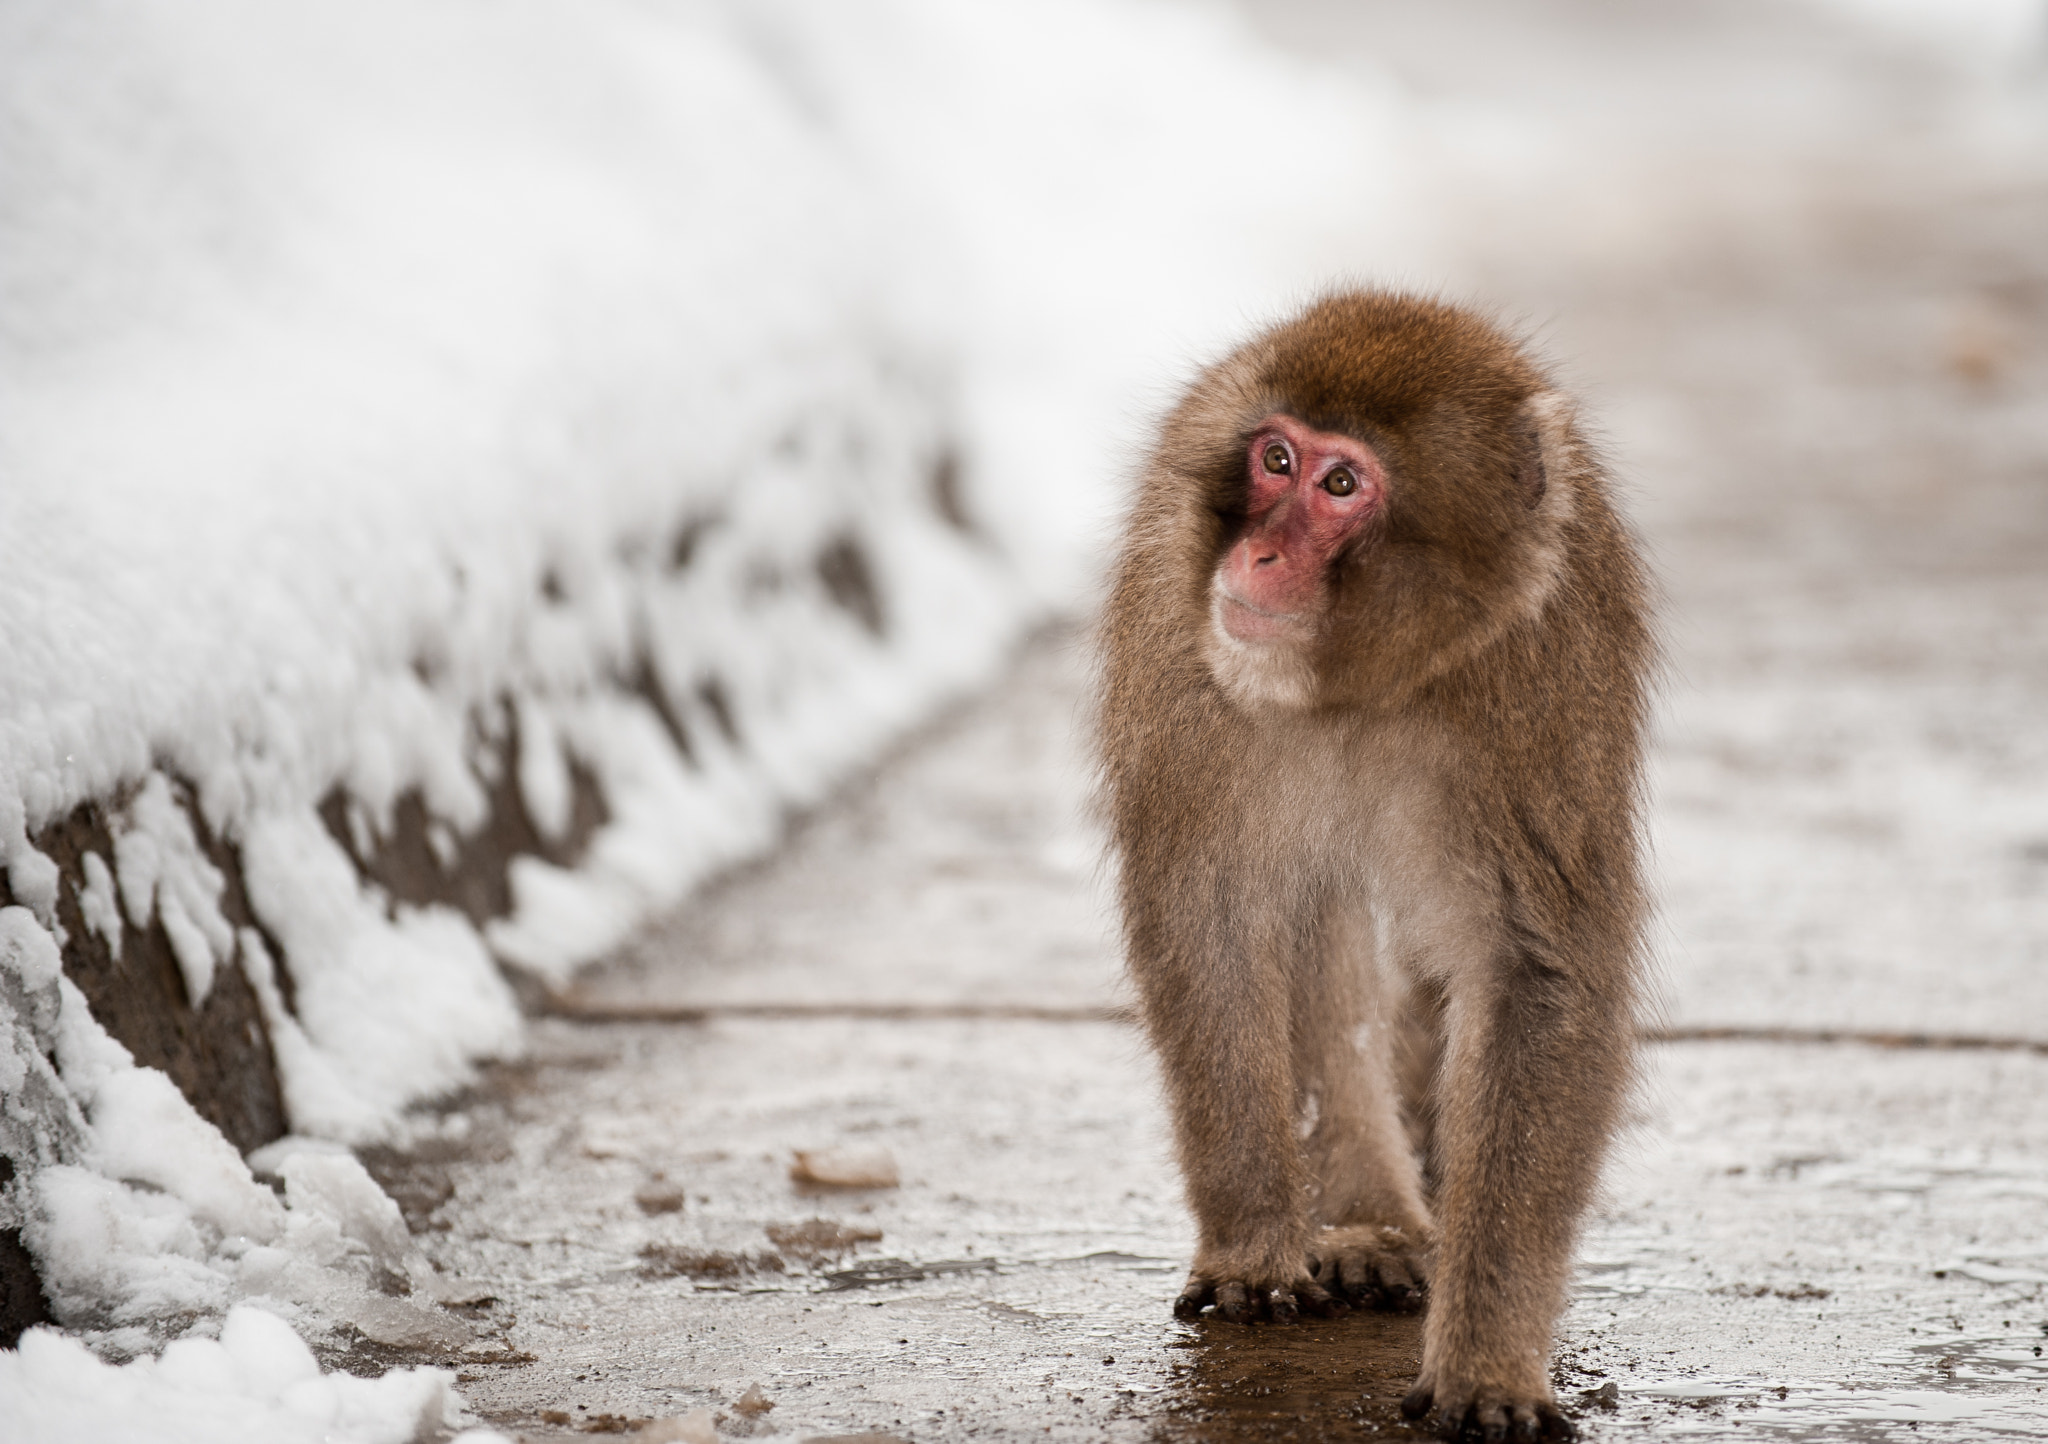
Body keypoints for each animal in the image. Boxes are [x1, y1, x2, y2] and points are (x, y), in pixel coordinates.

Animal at [1095, 291, 1651, 1442]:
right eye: (1274, 459)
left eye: (1341, 485)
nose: (1257, 559)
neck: (1362, 681)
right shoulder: (1179, 643)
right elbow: (1210, 912)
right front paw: (1253, 1243)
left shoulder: (1541, 681)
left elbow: (1535, 973)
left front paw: (1487, 1360)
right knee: (1323, 906)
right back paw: (1364, 1219)